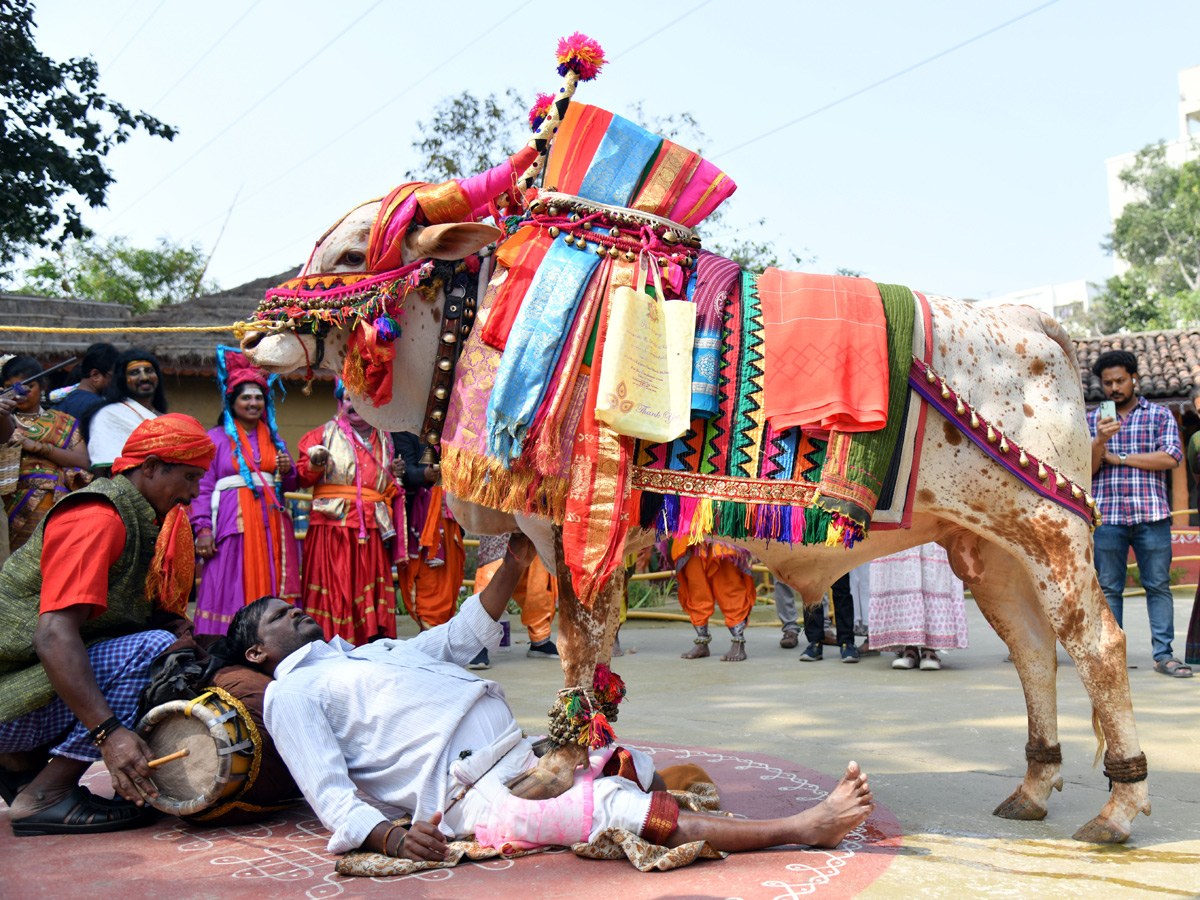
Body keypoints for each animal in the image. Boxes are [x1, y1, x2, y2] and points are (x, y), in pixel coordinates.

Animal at [241, 35, 1142, 844]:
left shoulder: (585, 529)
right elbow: (582, 643)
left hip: (1054, 531)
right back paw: (1034, 786)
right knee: (1032, 648)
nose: (253, 337)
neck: (483, 319)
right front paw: (579, 756)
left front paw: (558, 767)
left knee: (1095, 642)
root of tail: (1031, 321)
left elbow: (585, 639)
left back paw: (1119, 805)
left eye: (351, 252)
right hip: (987, 548)